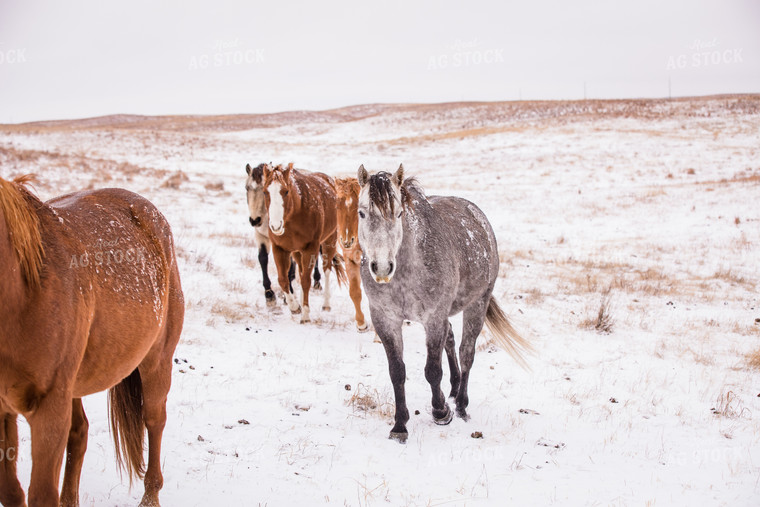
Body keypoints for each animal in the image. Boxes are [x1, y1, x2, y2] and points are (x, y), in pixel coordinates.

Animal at [0, 176, 184, 507]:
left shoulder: (49, 411)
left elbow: (40, 494)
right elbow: (11, 492)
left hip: (157, 362)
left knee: (154, 421)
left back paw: (150, 495)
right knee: (80, 433)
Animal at [243, 164, 320, 306]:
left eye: (263, 190)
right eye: (247, 187)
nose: (255, 220)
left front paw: (288, 295)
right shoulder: (260, 236)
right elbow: (263, 259)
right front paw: (269, 294)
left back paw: (317, 281)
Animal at [262, 163, 344, 324]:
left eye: (286, 191)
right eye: (265, 192)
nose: (275, 226)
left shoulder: (311, 248)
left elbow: (306, 280)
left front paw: (305, 314)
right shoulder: (279, 248)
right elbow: (283, 279)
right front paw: (295, 307)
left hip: (329, 241)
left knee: (326, 269)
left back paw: (326, 304)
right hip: (297, 252)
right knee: (300, 272)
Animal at [354, 165, 528, 442]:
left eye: (399, 213)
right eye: (361, 213)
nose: (381, 268)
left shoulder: (433, 318)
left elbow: (433, 370)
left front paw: (440, 412)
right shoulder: (385, 319)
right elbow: (397, 371)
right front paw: (399, 425)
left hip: (478, 304)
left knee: (466, 353)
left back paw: (461, 405)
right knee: (451, 340)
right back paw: (454, 390)